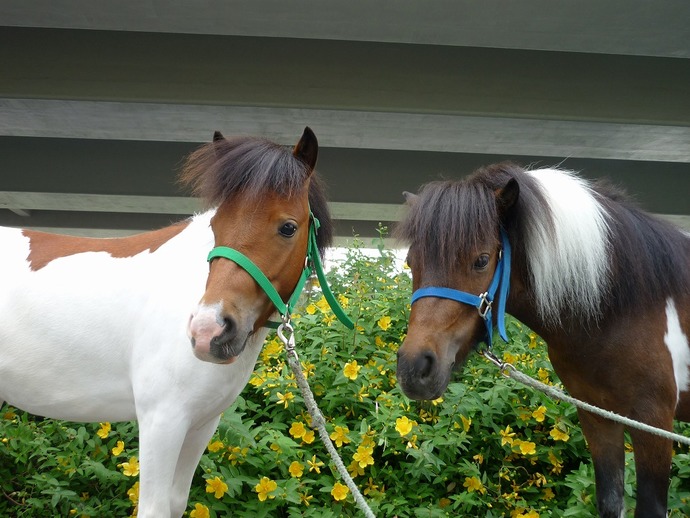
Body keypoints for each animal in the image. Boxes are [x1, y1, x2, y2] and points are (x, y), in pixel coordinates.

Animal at [392, 162, 688, 518]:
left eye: (481, 260)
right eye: (411, 261)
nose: (414, 368)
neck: (623, 307)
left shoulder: (653, 421)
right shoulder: (598, 417)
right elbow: (610, 500)